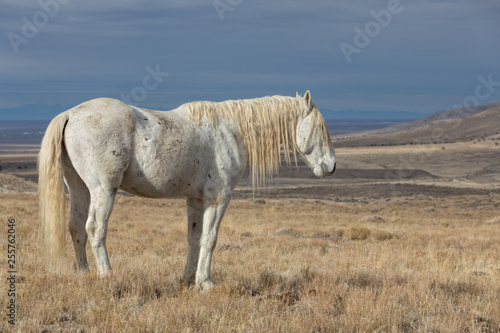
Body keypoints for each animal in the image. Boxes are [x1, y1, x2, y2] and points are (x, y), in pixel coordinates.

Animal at [39, 90, 336, 288]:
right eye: (320, 128)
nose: (331, 165)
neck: (231, 131)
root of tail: (70, 114)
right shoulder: (218, 200)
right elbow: (210, 239)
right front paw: (206, 283)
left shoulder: (194, 200)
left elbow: (194, 238)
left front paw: (188, 279)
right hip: (103, 190)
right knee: (95, 229)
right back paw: (107, 275)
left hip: (78, 187)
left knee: (76, 227)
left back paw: (83, 273)